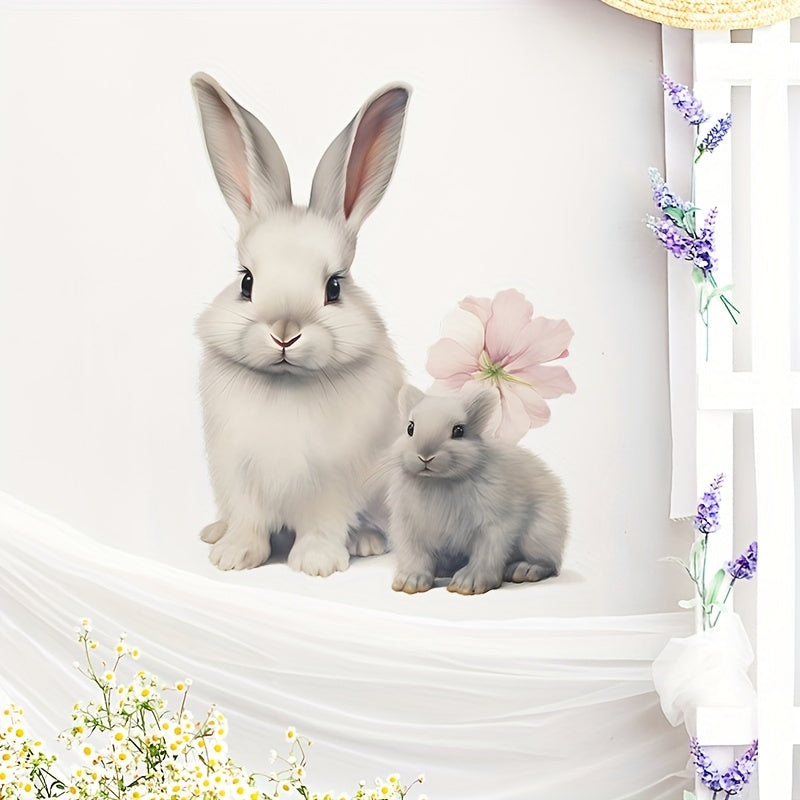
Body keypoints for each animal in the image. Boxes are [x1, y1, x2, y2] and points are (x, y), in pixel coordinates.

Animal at [191, 73, 410, 576]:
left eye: (334, 287)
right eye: (247, 282)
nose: (284, 334)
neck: (286, 385)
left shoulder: (334, 480)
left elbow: (323, 522)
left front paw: (317, 564)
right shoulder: (238, 473)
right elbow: (248, 520)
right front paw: (233, 557)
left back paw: (366, 542)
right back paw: (213, 532)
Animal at [386, 386, 569, 595]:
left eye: (459, 431)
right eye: (410, 428)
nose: (425, 455)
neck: (438, 481)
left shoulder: (495, 524)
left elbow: (486, 553)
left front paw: (467, 584)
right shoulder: (408, 527)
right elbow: (414, 555)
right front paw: (410, 582)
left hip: (540, 534)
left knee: (549, 563)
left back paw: (524, 570)